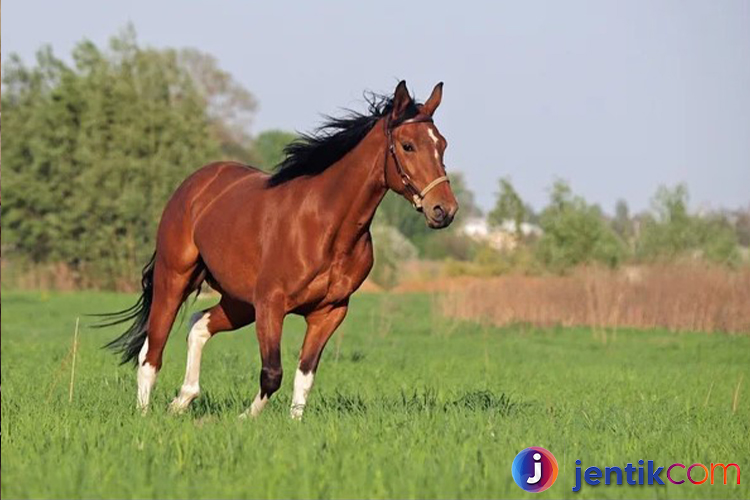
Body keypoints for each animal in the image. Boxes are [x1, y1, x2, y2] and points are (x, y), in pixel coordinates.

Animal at [101, 81, 458, 418]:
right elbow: (272, 373)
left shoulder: (329, 312)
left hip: (238, 301)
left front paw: (292, 424)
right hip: (175, 279)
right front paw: (245, 419)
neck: (325, 227)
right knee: (152, 351)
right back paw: (146, 413)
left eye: (442, 144)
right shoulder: (271, 304)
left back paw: (181, 401)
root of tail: (196, 183)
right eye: (407, 145)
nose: (444, 209)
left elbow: (305, 377)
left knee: (198, 325)